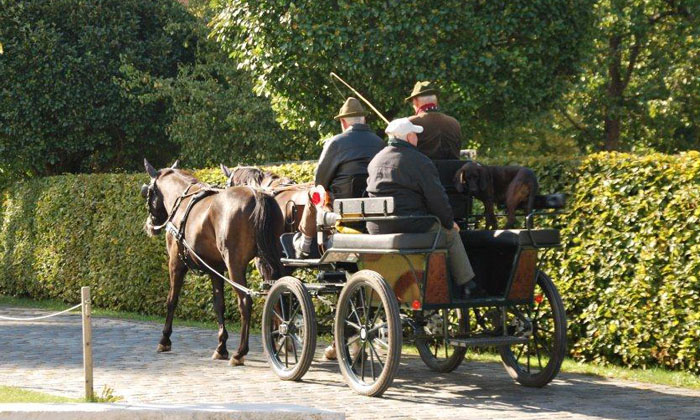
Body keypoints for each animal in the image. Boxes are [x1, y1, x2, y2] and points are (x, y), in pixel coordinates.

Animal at [142, 159, 284, 366]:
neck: (182, 202)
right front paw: (221, 347)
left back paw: (240, 352)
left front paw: (165, 340)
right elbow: (219, 305)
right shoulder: (215, 269)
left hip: (235, 265)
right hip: (271, 262)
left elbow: (172, 300)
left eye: (148, 192)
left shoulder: (176, 264)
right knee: (279, 297)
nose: (149, 225)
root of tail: (257, 194)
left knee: (245, 301)